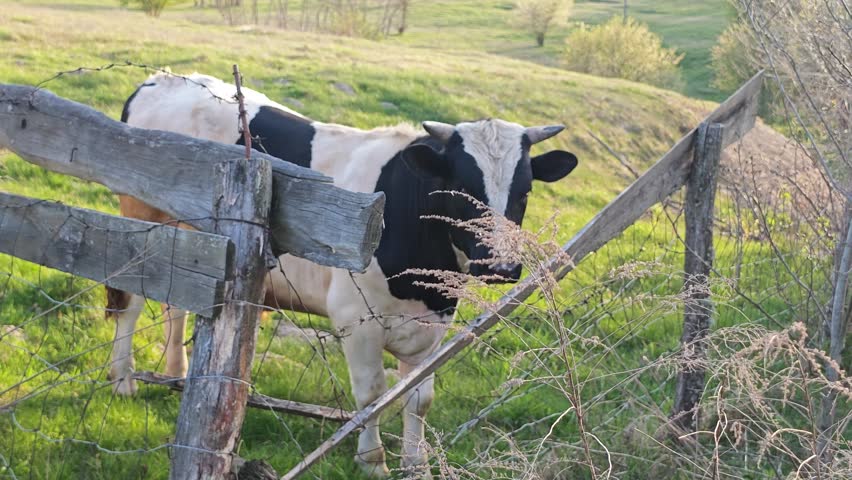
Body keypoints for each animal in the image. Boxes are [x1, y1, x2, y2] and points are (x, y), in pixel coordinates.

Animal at [109, 72, 578, 477]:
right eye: (459, 190)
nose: (500, 266)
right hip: (142, 222)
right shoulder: (357, 318)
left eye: (525, 192)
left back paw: (177, 371)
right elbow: (372, 395)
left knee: (177, 303)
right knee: (129, 303)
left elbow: (419, 399)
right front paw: (372, 460)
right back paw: (123, 380)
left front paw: (417, 463)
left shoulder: (432, 326)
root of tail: (161, 78)